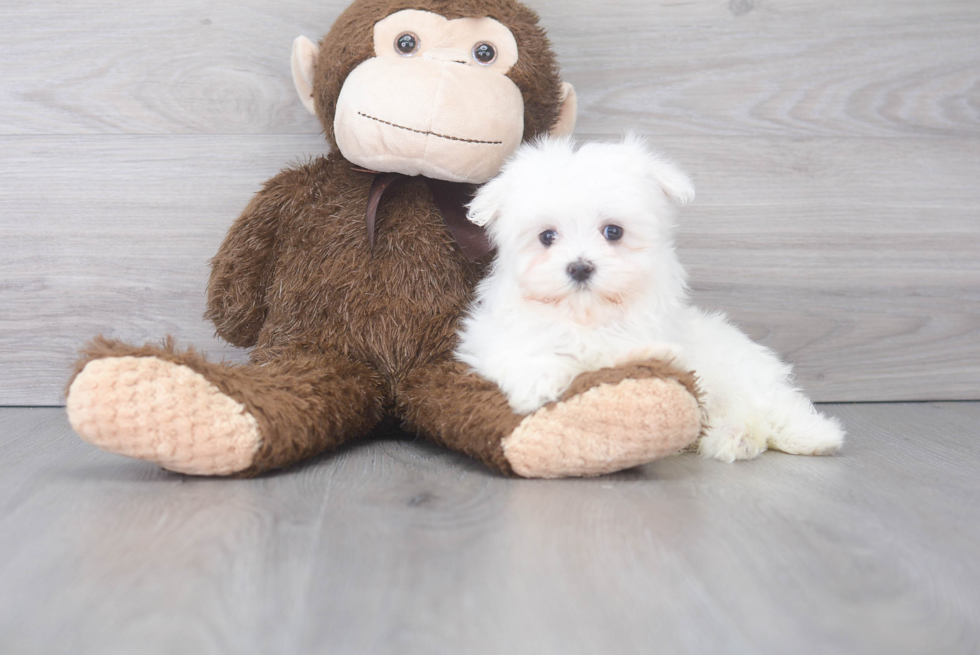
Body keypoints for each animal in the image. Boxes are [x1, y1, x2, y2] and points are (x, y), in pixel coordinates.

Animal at [456, 135, 848, 462]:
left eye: (613, 232)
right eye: (547, 237)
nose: (580, 267)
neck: (587, 316)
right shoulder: (490, 335)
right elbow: (522, 346)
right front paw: (537, 384)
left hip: (741, 374)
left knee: (773, 404)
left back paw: (813, 435)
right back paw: (734, 438)